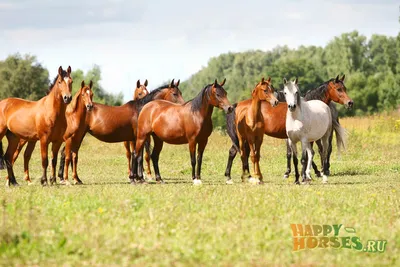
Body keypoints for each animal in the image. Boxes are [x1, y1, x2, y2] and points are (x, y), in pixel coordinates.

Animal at [57, 78, 185, 185]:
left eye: (181, 93)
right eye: (174, 93)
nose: (183, 105)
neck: (142, 110)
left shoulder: (137, 139)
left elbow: (137, 156)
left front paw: (138, 178)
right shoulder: (139, 138)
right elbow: (138, 156)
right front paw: (137, 178)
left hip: (78, 136)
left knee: (69, 153)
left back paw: (72, 178)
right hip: (76, 135)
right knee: (68, 153)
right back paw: (66, 178)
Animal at [225, 75, 354, 183]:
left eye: (345, 88)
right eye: (339, 89)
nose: (350, 102)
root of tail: (237, 106)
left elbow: (305, 154)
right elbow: (305, 154)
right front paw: (306, 174)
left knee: (233, 152)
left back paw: (230, 176)